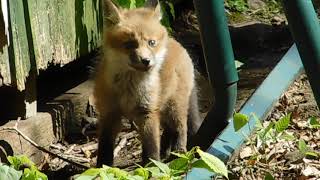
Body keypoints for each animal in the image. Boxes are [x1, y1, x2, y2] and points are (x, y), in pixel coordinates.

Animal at [94, 0, 201, 167]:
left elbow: (151, 146)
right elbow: (104, 147)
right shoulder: (109, 113)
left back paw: (178, 153)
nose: (146, 61)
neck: (129, 88)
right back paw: (166, 151)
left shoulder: (148, 112)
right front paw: (102, 169)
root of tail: (176, 42)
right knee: (169, 130)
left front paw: (152, 167)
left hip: (174, 106)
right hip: (163, 106)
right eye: (130, 44)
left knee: (181, 128)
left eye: (151, 42)